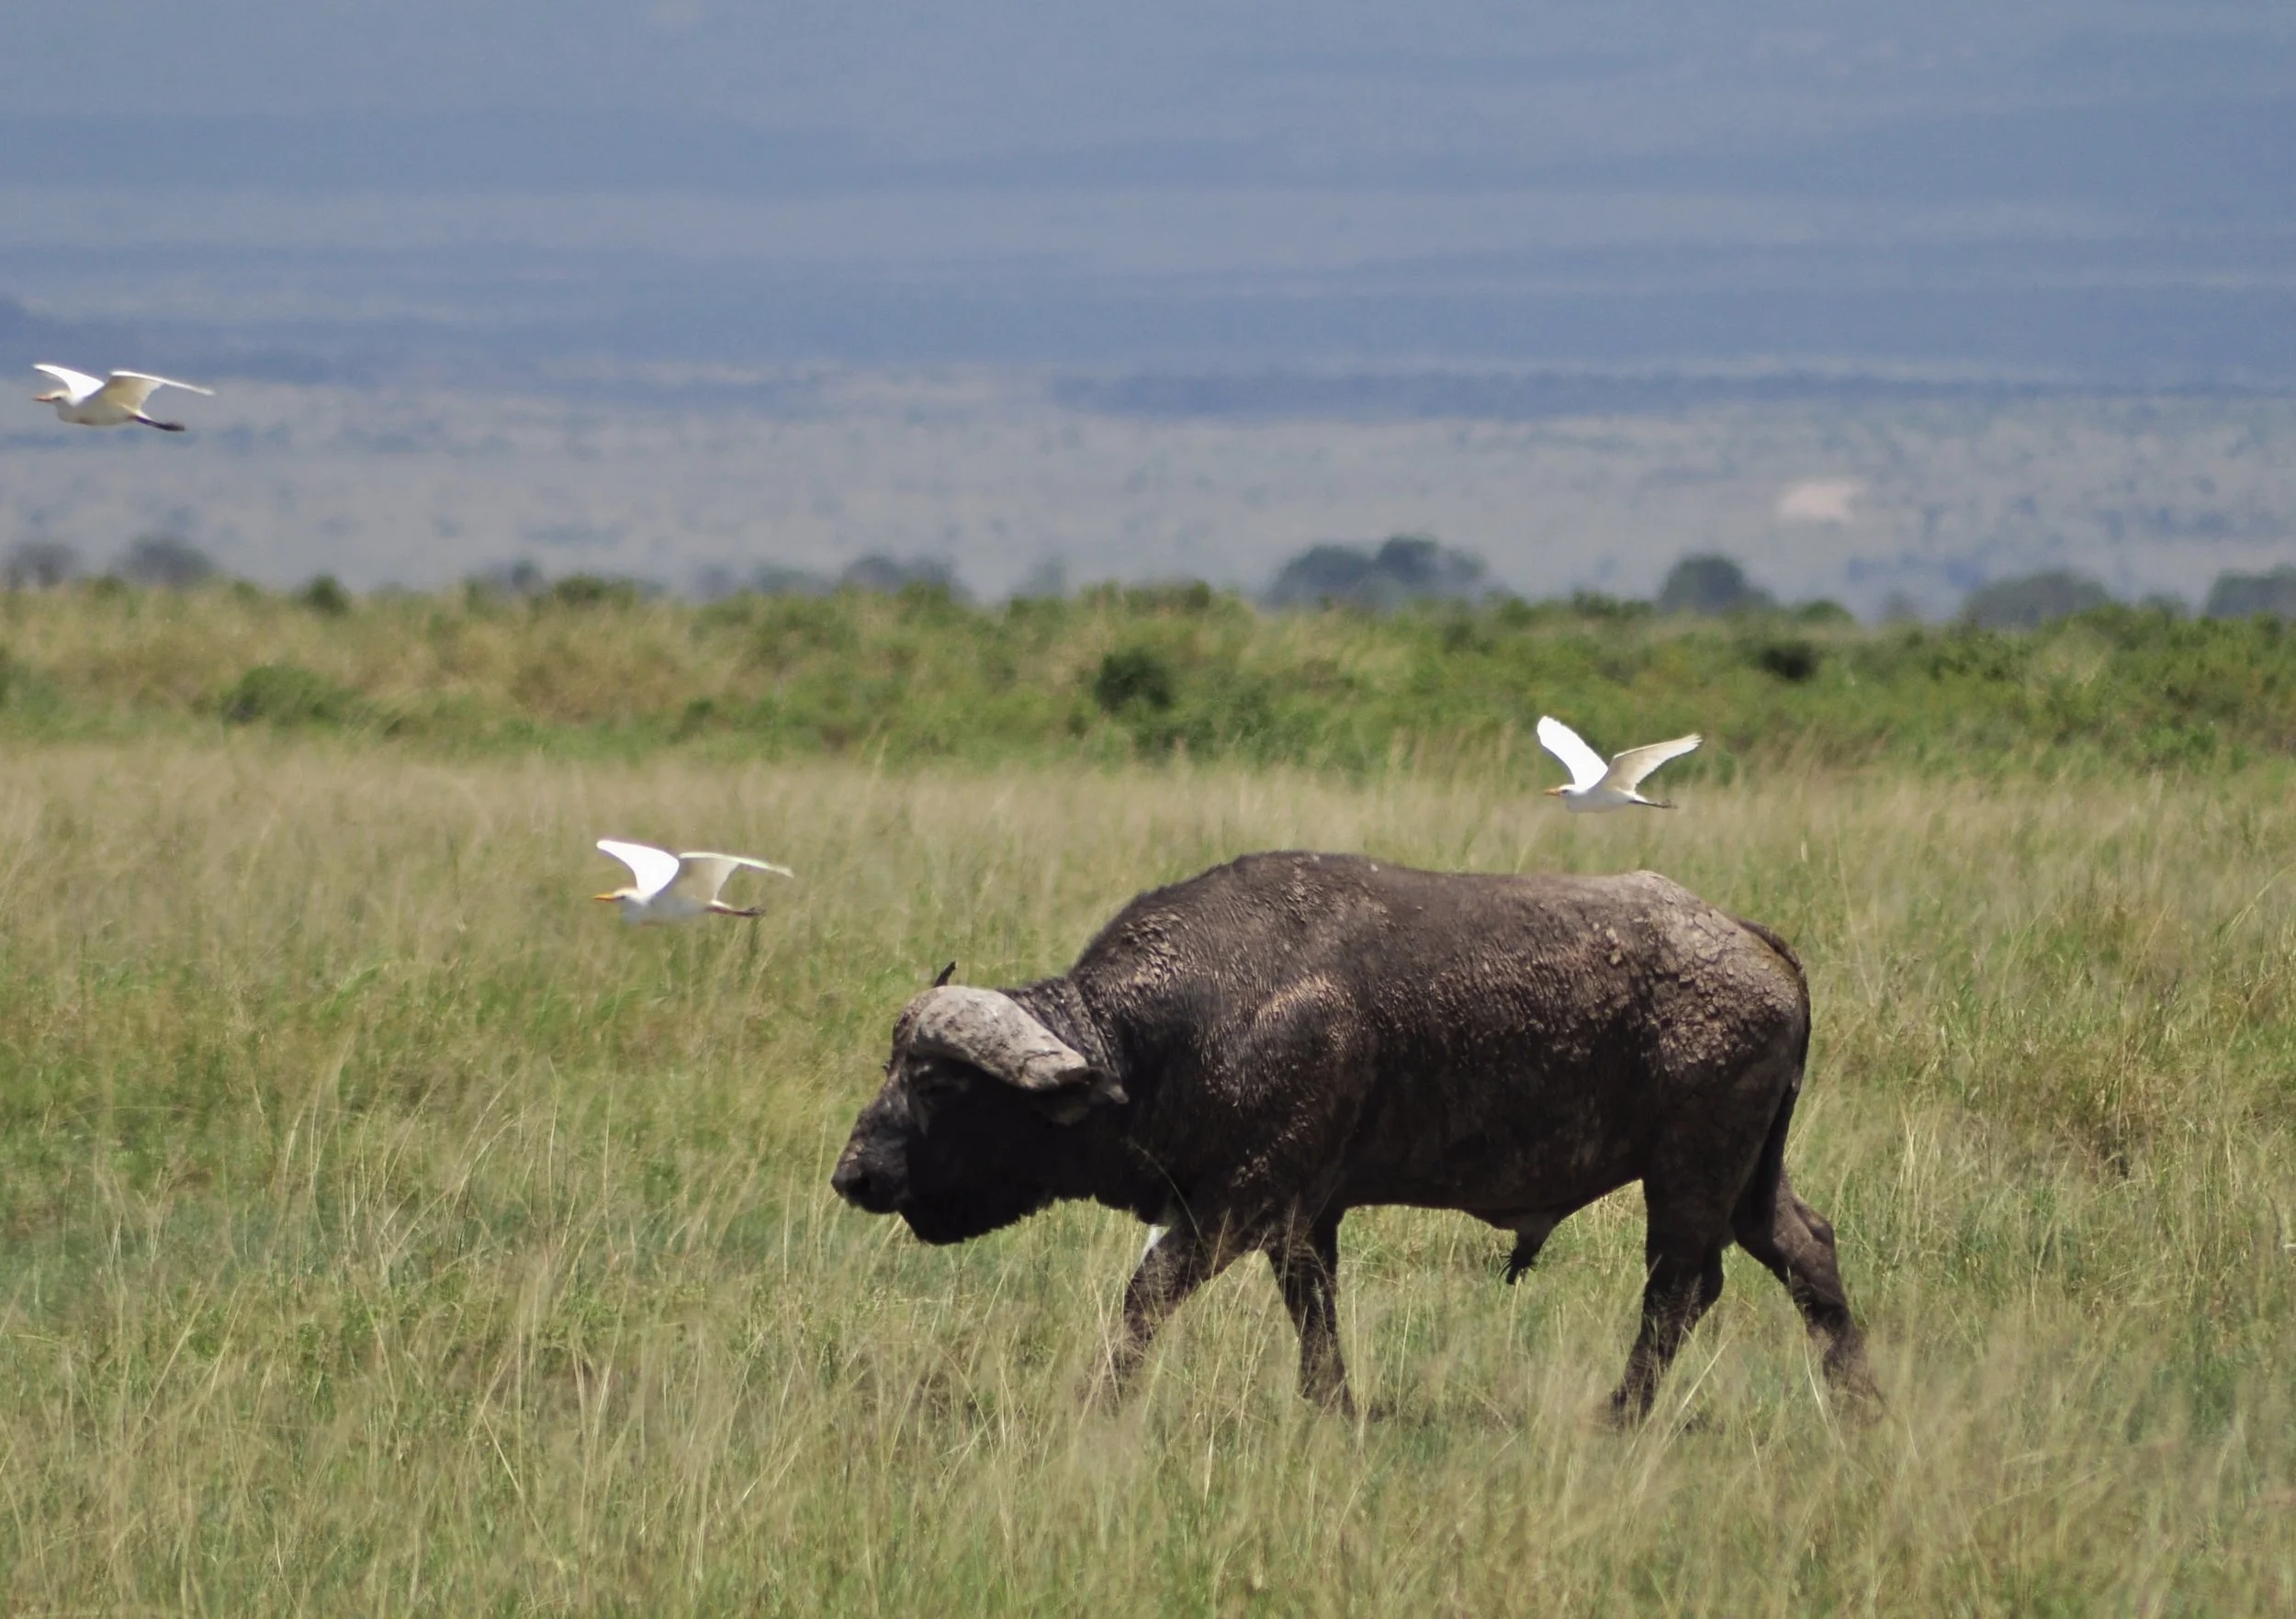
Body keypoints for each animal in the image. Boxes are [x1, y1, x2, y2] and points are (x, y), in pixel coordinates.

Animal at [833, 852, 1876, 1422]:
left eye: (934, 1080)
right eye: (890, 1065)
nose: (853, 1174)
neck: (1175, 1026)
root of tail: (1751, 938)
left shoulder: (1239, 1203)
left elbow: (1146, 1295)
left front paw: (1099, 1400)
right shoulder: (1305, 1216)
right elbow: (1315, 1314)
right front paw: (1331, 1406)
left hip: (1690, 1172)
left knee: (1678, 1289)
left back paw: (1618, 1414)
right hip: (1747, 1178)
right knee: (1807, 1249)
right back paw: (1858, 1404)